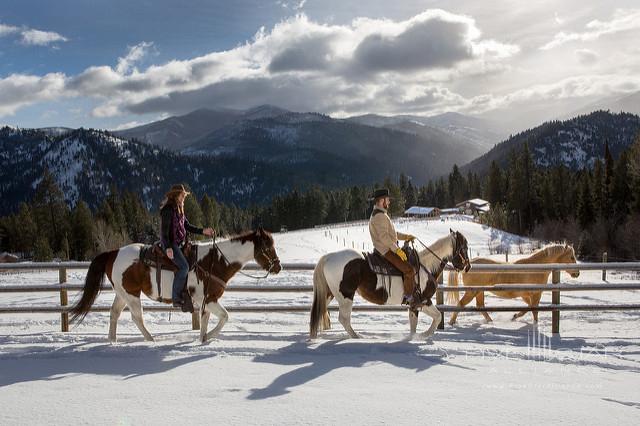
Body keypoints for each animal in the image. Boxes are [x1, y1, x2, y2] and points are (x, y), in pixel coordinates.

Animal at [70, 226, 280, 342]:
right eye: (268, 247)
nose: (278, 267)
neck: (216, 261)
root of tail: (113, 253)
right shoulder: (209, 299)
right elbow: (225, 316)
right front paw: (209, 337)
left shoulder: (207, 300)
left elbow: (205, 320)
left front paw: (203, 339)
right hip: (132, 295)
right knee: (137, 318)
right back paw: (151, 340)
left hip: (123, 293)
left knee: (114, 313)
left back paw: (112, 341)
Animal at [312, 230, 472, 340]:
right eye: (464, 247)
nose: (468, 267)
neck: (426, 266)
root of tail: (328, 257)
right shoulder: (423, 301)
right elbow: (438, 316)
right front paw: (424, 335)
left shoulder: (414, 305)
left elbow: (414, 324)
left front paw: (412, 338)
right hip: (346, 296)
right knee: (344, 318)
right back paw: (357, 337)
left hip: (330, 293)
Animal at [444, 245, 580, 324]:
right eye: (571, 257)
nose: (577, 273)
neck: (536, 268)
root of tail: (467, 264)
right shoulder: (535, 294)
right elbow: (533, 309)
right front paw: (532, 323)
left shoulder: (526, 295)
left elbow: (529, 308)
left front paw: (515, 316)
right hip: (472, 291)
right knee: (461, 304)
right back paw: (451, 323)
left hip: (479, 291)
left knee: (480, 306)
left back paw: (490, 322)